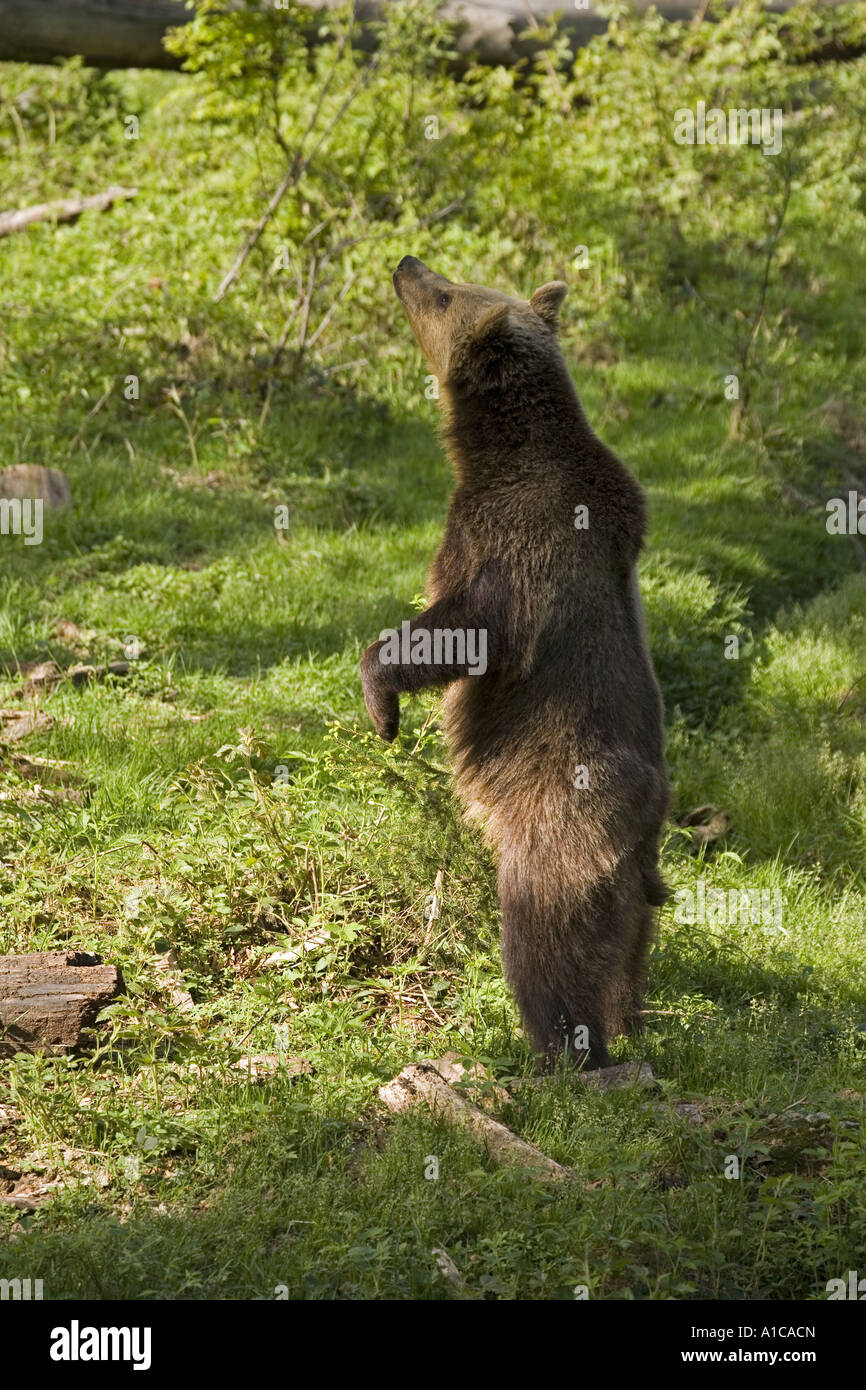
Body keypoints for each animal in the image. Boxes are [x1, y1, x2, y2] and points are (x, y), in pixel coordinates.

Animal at [360, 255, 669, 1070]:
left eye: (443, 294)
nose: (405, 262)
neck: (494, 447)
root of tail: (645, 832)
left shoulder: (514, 540)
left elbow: (467, 627)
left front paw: (382, 702)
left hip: (555, 833)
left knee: (544, 948)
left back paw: (558, 1053)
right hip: (633, 896)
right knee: (627, 958)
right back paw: (628, 1024)